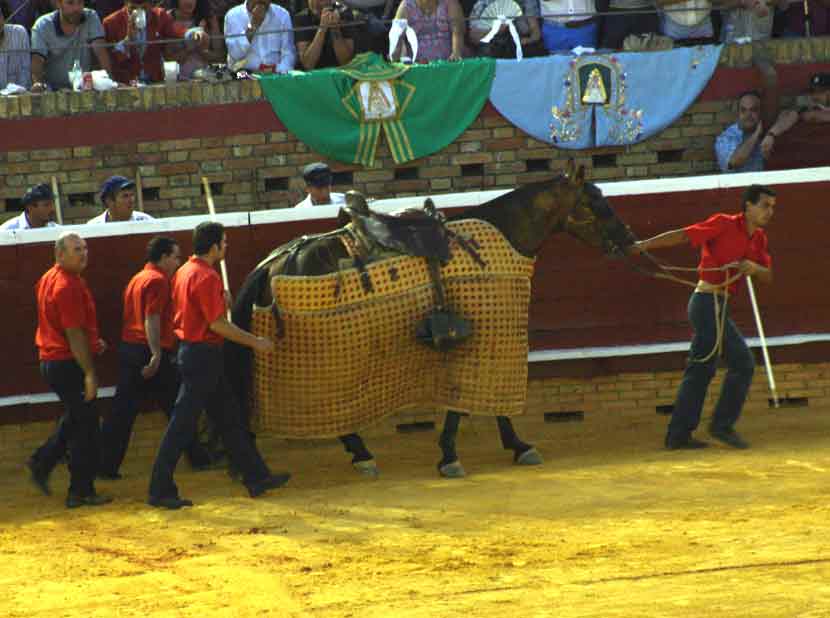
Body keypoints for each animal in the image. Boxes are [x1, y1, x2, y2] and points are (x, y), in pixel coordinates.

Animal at [224, 159, 640, 476]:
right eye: (596, 204)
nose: (629, 240)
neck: (501, 239)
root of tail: (276, 260)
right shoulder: (486, 338)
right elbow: (471, 402)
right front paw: (463, 454)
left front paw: (507, 446)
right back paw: (361, 455)